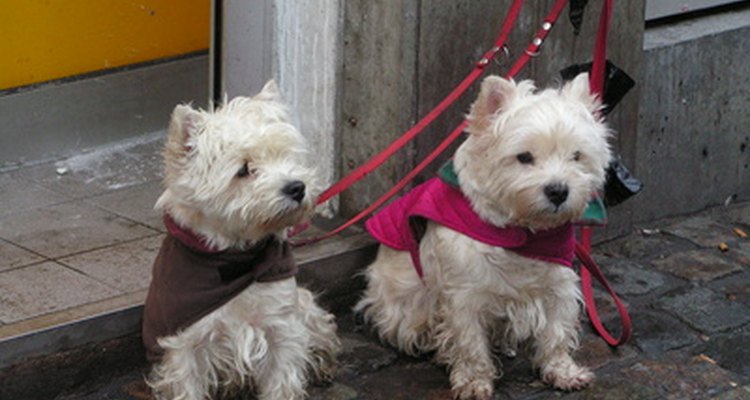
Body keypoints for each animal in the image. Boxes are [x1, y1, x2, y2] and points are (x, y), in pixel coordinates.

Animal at [143, 81, 340, 400]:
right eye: (244, 169)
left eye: (286, 156)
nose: (297, 187)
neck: (237, 257)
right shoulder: (187, 341)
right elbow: (188, 384)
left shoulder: (280, 328)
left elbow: (282, 380)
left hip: (305, 308)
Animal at [356, 73, 612, 398]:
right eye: (524, 157)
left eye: (576, 156)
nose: (558, 191)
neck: (521, 232)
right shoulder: (465, 294)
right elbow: (470, 343)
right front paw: (474, 381)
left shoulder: (558, 283)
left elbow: (556, 331)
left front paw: (563, 372)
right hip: (401, 301)